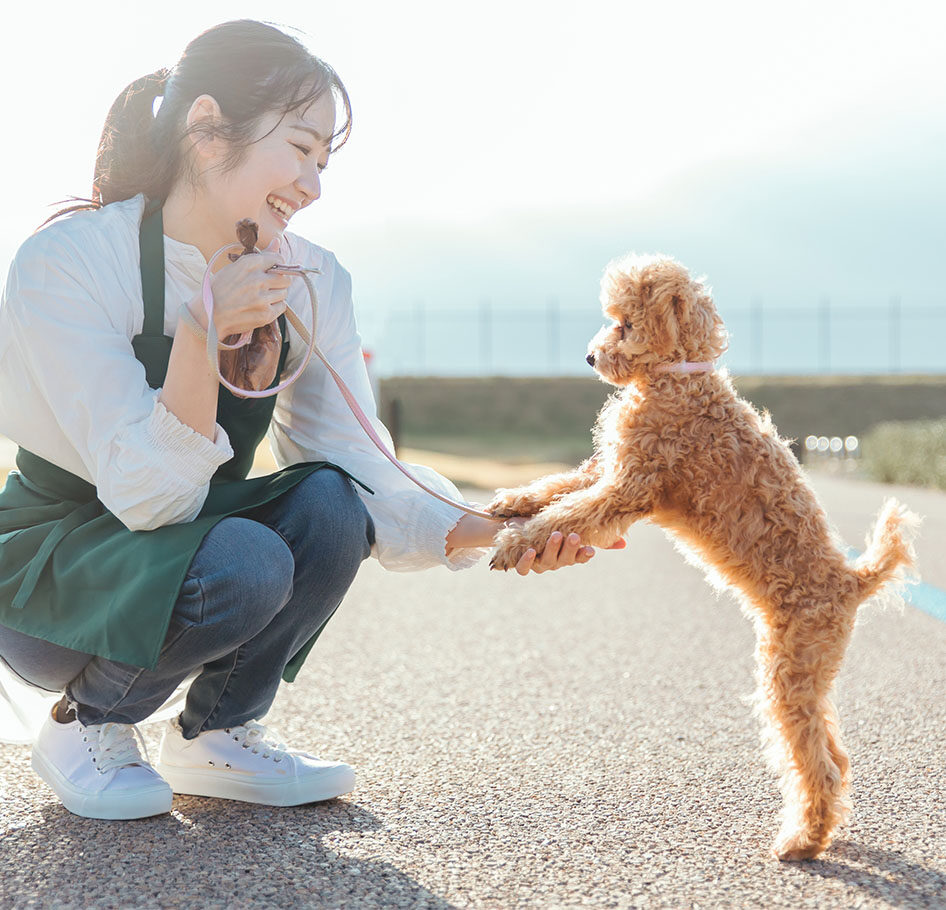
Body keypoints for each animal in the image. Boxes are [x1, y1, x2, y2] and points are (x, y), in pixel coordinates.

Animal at [486, 255, 916, 864]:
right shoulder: (609, 468)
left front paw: (515, 543)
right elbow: (560, 486)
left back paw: (800, 842)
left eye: (624, 324)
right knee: (834, 755)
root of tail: (853, 580)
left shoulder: (631, 485)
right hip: (808, 672)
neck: (678, 377)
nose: (590, 357)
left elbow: (570, 512)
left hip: (790, 667)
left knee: (816, 763)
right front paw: (511, 503)